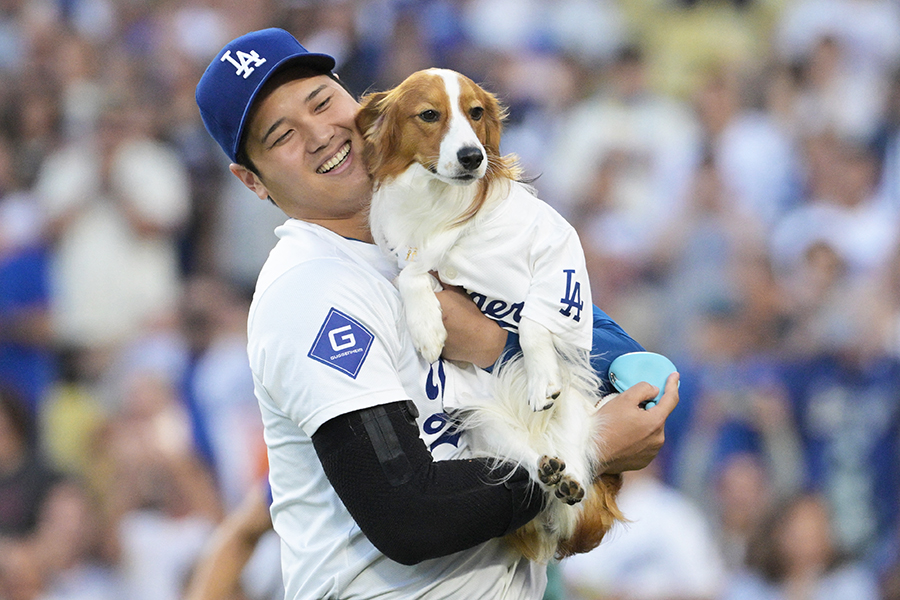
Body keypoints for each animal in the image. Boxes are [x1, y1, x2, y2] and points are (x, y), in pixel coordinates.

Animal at [356, 69, 624, 564]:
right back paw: (547, 470)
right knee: (534, 472)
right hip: (485, 423)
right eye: (429, 115)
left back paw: (568, 476)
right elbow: (411, 275)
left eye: (476, 112)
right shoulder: (412, 258)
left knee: (573, 476)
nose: (471, 157)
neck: (442, 202)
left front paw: (540, 378)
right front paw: (427, 327)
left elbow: (536, 322)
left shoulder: (558, 254)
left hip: (578, 412)